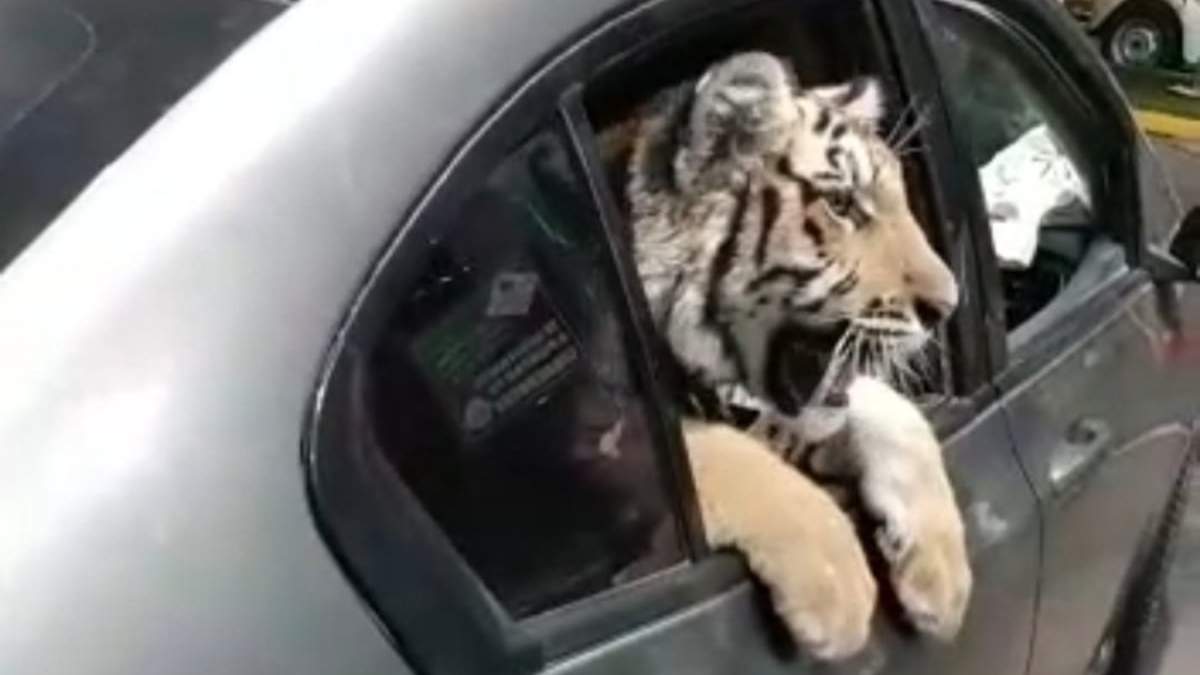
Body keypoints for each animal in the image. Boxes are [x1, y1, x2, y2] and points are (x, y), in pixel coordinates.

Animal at [614, 52, 972, 660]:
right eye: (841, 204)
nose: (946, 306)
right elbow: (714, 452)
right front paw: (838, 589)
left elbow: (891, 409)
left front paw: (941, 576)